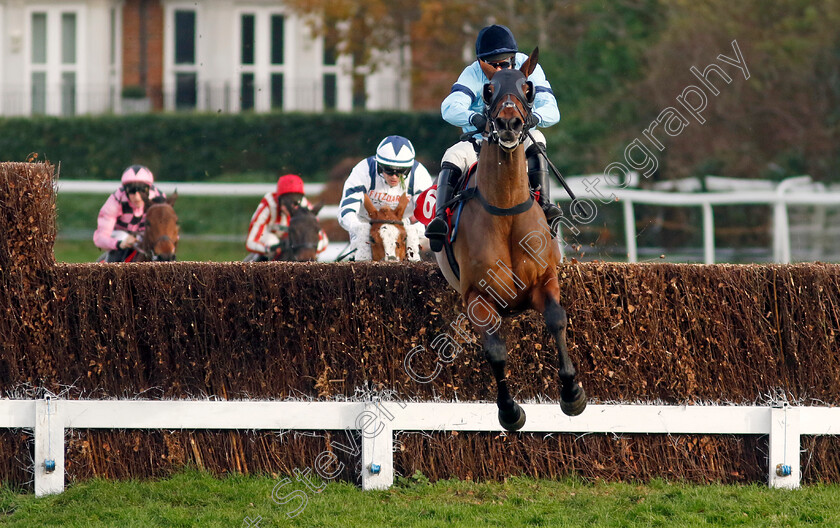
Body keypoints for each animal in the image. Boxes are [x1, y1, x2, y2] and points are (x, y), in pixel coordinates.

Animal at [434, 47, 584, 432]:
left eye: (527, 88)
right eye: (488, 91)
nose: (509, 124)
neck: (505, 211)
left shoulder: (544, 280)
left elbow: (557, 319)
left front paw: (571, 393)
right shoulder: (477, 296)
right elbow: (496, 351)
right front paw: (510, 410)